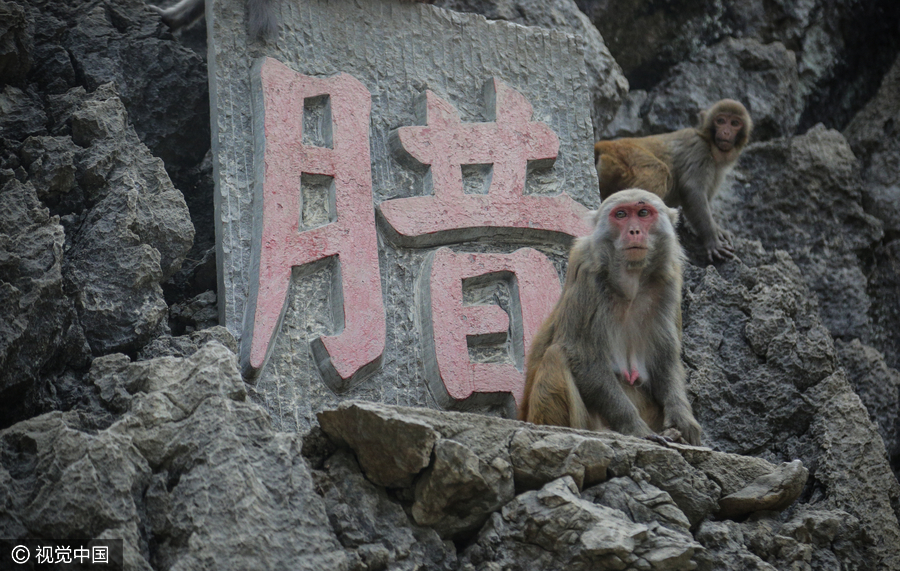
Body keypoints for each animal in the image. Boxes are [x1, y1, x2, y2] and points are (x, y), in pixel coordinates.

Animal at [520, 189, 704, 446]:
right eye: (621, 214)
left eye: (643, 213)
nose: (634, 231)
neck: (631, 282)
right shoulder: (586, 270)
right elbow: (582, 355)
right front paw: (635, 427)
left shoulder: (670, 281)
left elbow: (665, 360)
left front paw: (683, 421)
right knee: (556, 355)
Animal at [596, 99, 748, 264]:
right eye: (720, 121)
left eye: (734, 123)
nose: (726, 132)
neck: (709, 143)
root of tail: (605, 145)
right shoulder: (698, 150)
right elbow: (692, 192)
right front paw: (713, 241)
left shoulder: (719, 169)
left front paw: (718, 230)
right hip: (624, 154)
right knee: (659, 171)